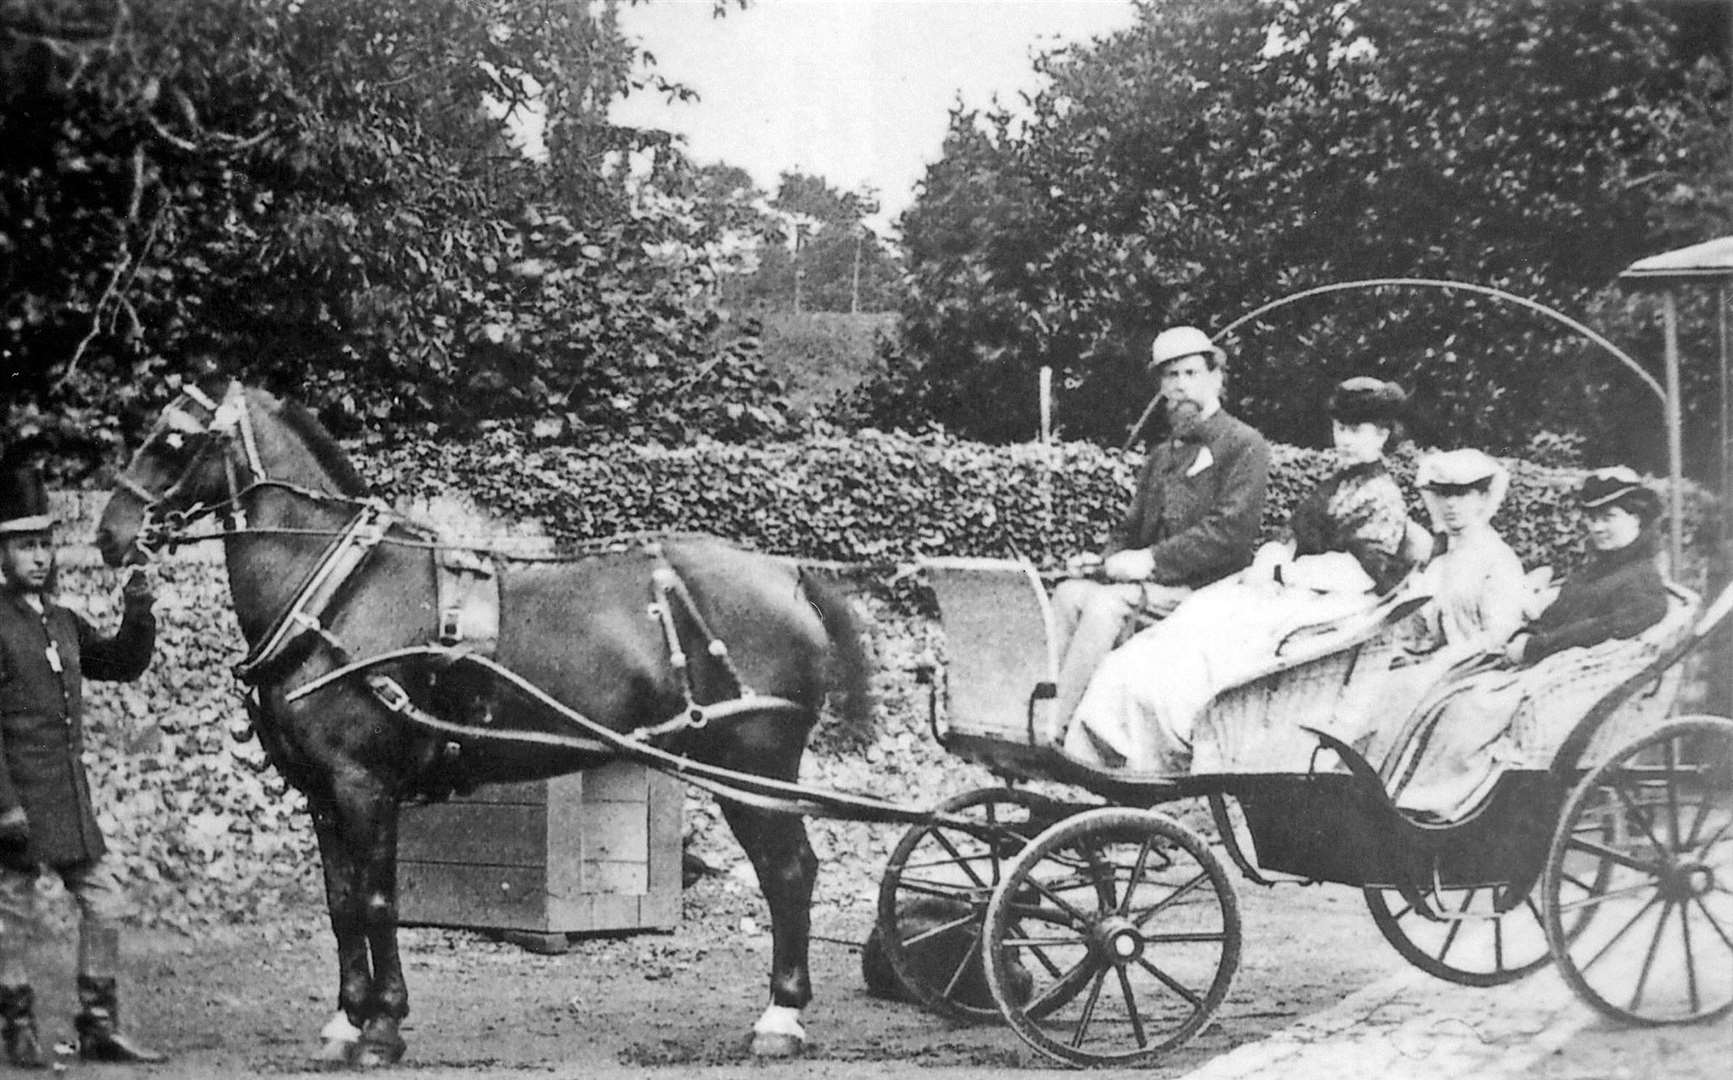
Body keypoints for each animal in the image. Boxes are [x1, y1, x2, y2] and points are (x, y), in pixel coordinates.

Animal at [91, 379, 880, 1067]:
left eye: (173, 439)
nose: (110, 535)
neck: (337, 592)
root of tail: (788, 575)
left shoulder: (364, 786)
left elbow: (378, 901)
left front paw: (383, 1028)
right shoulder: (322, 793)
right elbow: (342, 905)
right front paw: (345, 1023)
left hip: (752, 767)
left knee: (788, 873)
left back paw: (780, 1017)